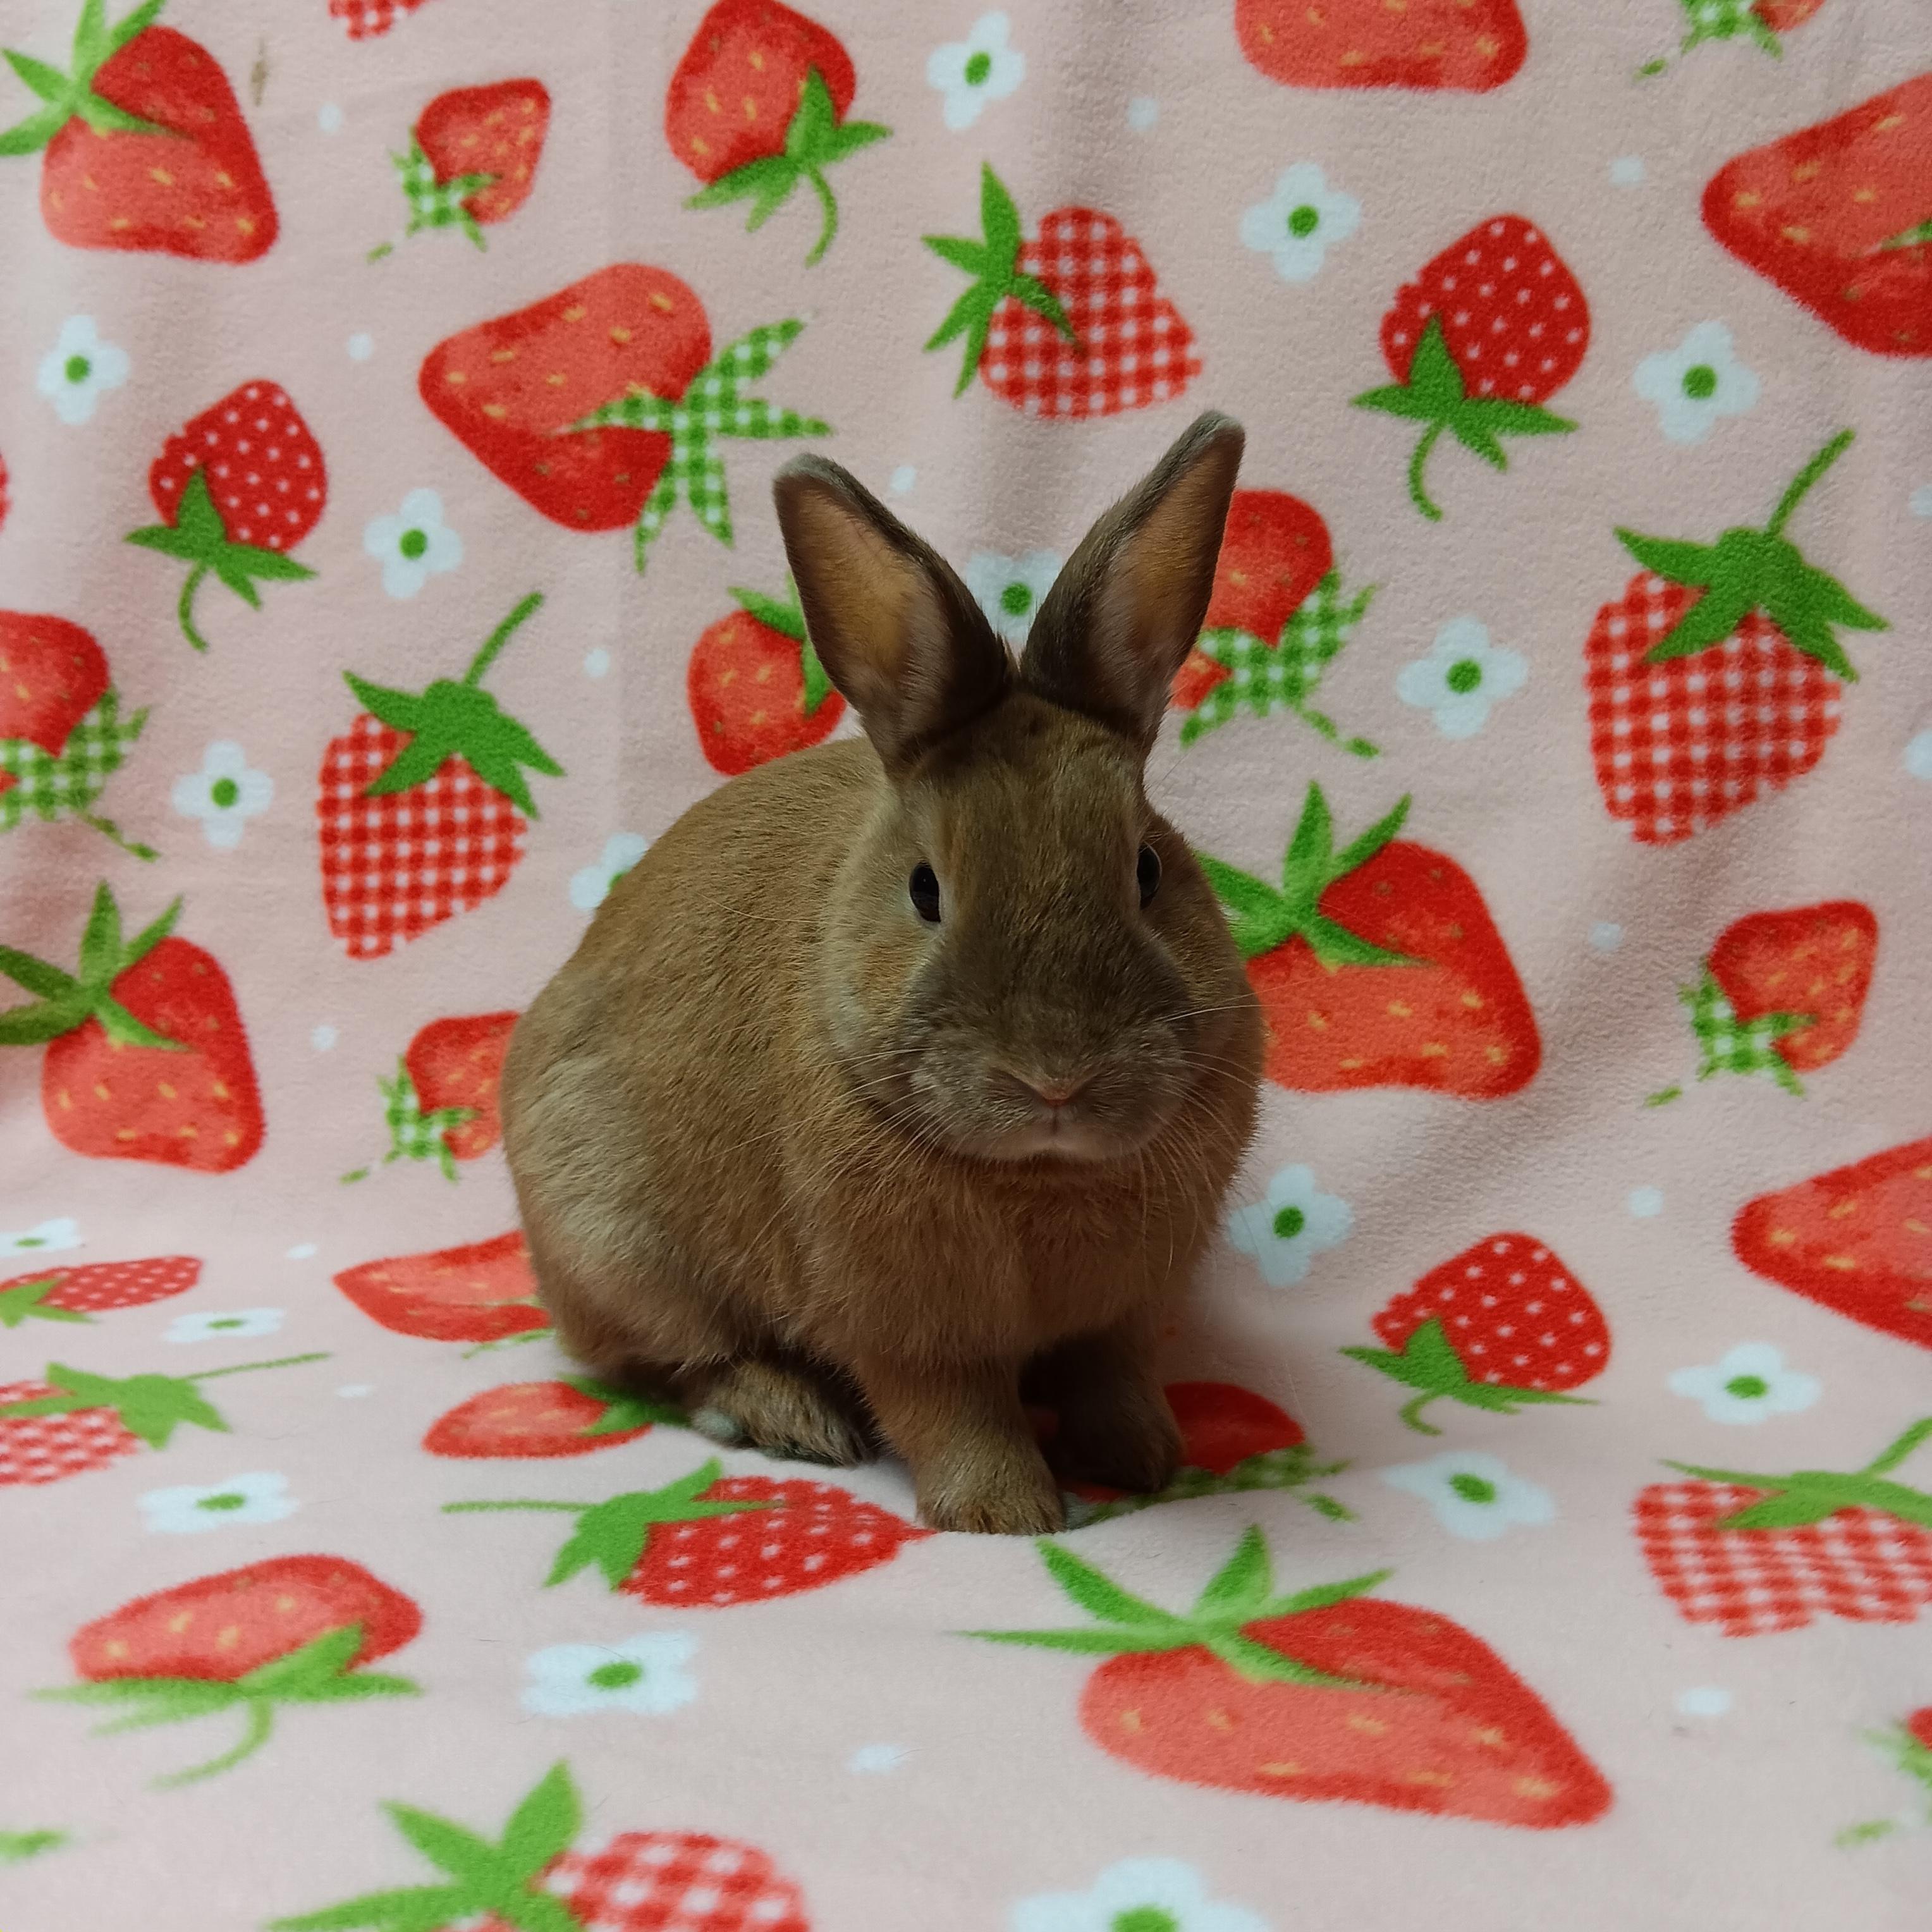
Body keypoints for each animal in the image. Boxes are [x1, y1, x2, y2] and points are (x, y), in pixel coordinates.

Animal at [500, 410, 1264, 1535]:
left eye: (1148, 869)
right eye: (925, 890)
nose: (1057, 1078)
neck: (1040, 1176)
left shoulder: (1121, 1312)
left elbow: (1111, 1375)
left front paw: (1149, 1462)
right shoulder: (906, 1331)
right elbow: (954, 1414)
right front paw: (1008, 1514)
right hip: (619, 1250)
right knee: (679, 1362)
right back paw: (792, 1417)